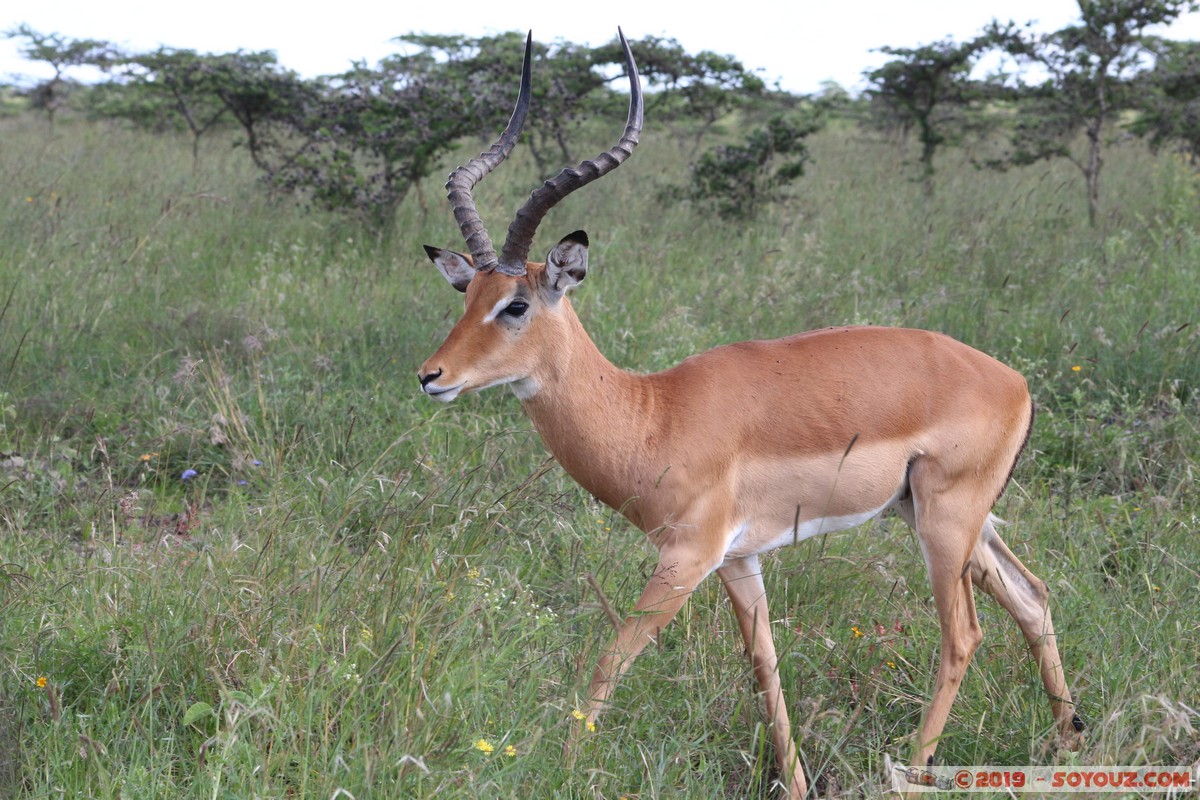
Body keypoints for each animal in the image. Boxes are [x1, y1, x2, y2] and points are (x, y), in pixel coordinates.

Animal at [417, 30, 1082, 797]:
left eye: (516, 304)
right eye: (466, 296)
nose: (431, 376)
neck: (654, 414)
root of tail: (1016, 382)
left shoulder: (686, 557)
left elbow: (610, 659)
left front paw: (562, 767)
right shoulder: (740, 559)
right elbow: (764, 669)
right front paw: (795, 784)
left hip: (945, 522)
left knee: (963, 635)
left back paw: (912, 772)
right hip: (945, 516)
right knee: (1033, 597)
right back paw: (1068, 744)